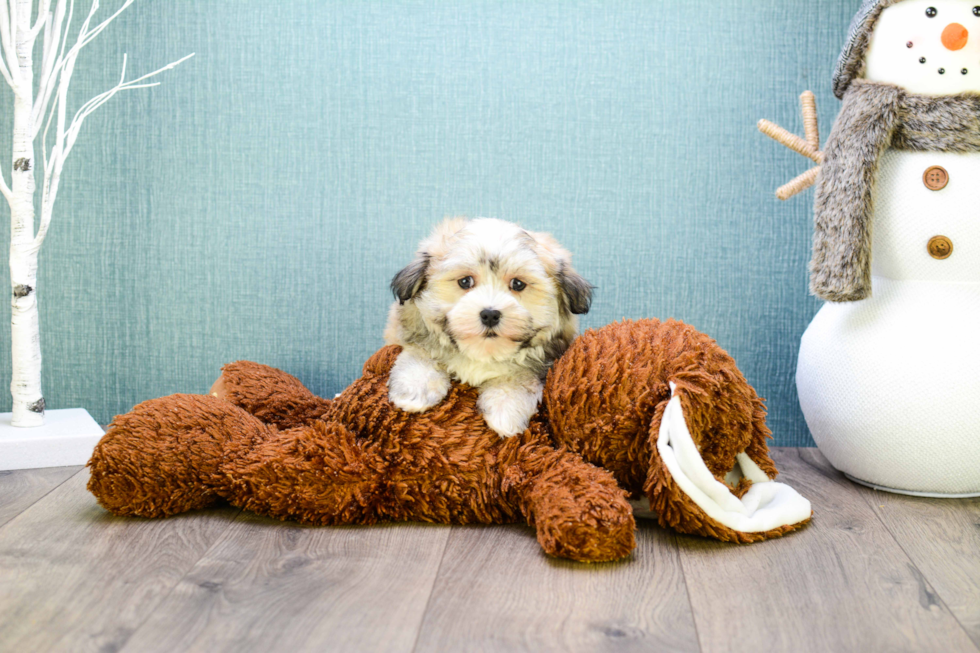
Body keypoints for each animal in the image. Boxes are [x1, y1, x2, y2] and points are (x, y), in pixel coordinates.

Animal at [386, 216, 592, 436]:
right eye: (465, 281)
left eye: (518, 284)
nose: (490, 314)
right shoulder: (413, 333)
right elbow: (421, 354)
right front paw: (415, 390)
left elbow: (519, 376)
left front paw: (507, 410)